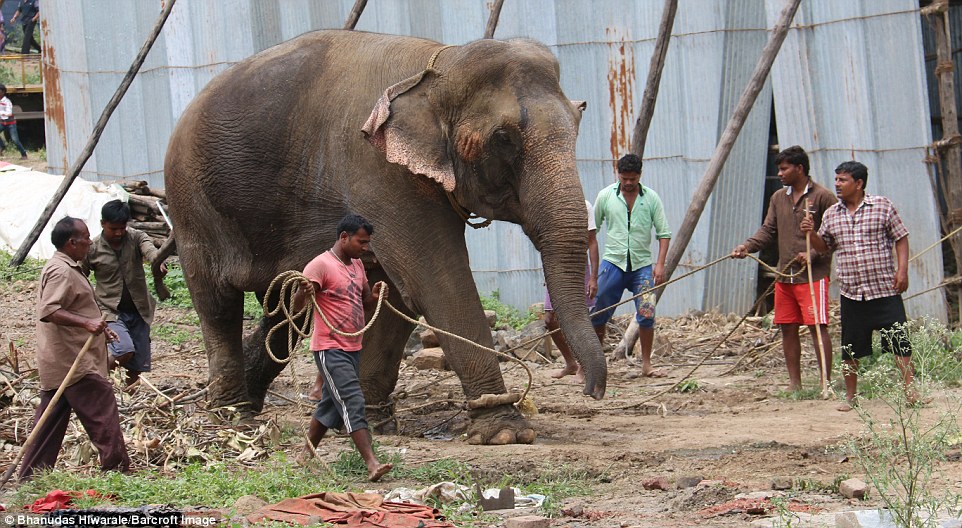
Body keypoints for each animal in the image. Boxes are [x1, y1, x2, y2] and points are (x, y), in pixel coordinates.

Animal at [160, 26, 604, 444]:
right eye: (503, 138)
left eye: (579, 122)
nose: (591, 390)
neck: (440, 66)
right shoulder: (379, 170)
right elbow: (436, 280)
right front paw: (506, 432)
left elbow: (396, 292)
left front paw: (372, 421)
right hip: (192, 203)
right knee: (216, 301)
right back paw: (232, 413)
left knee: (290, 305)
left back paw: (250, 402)